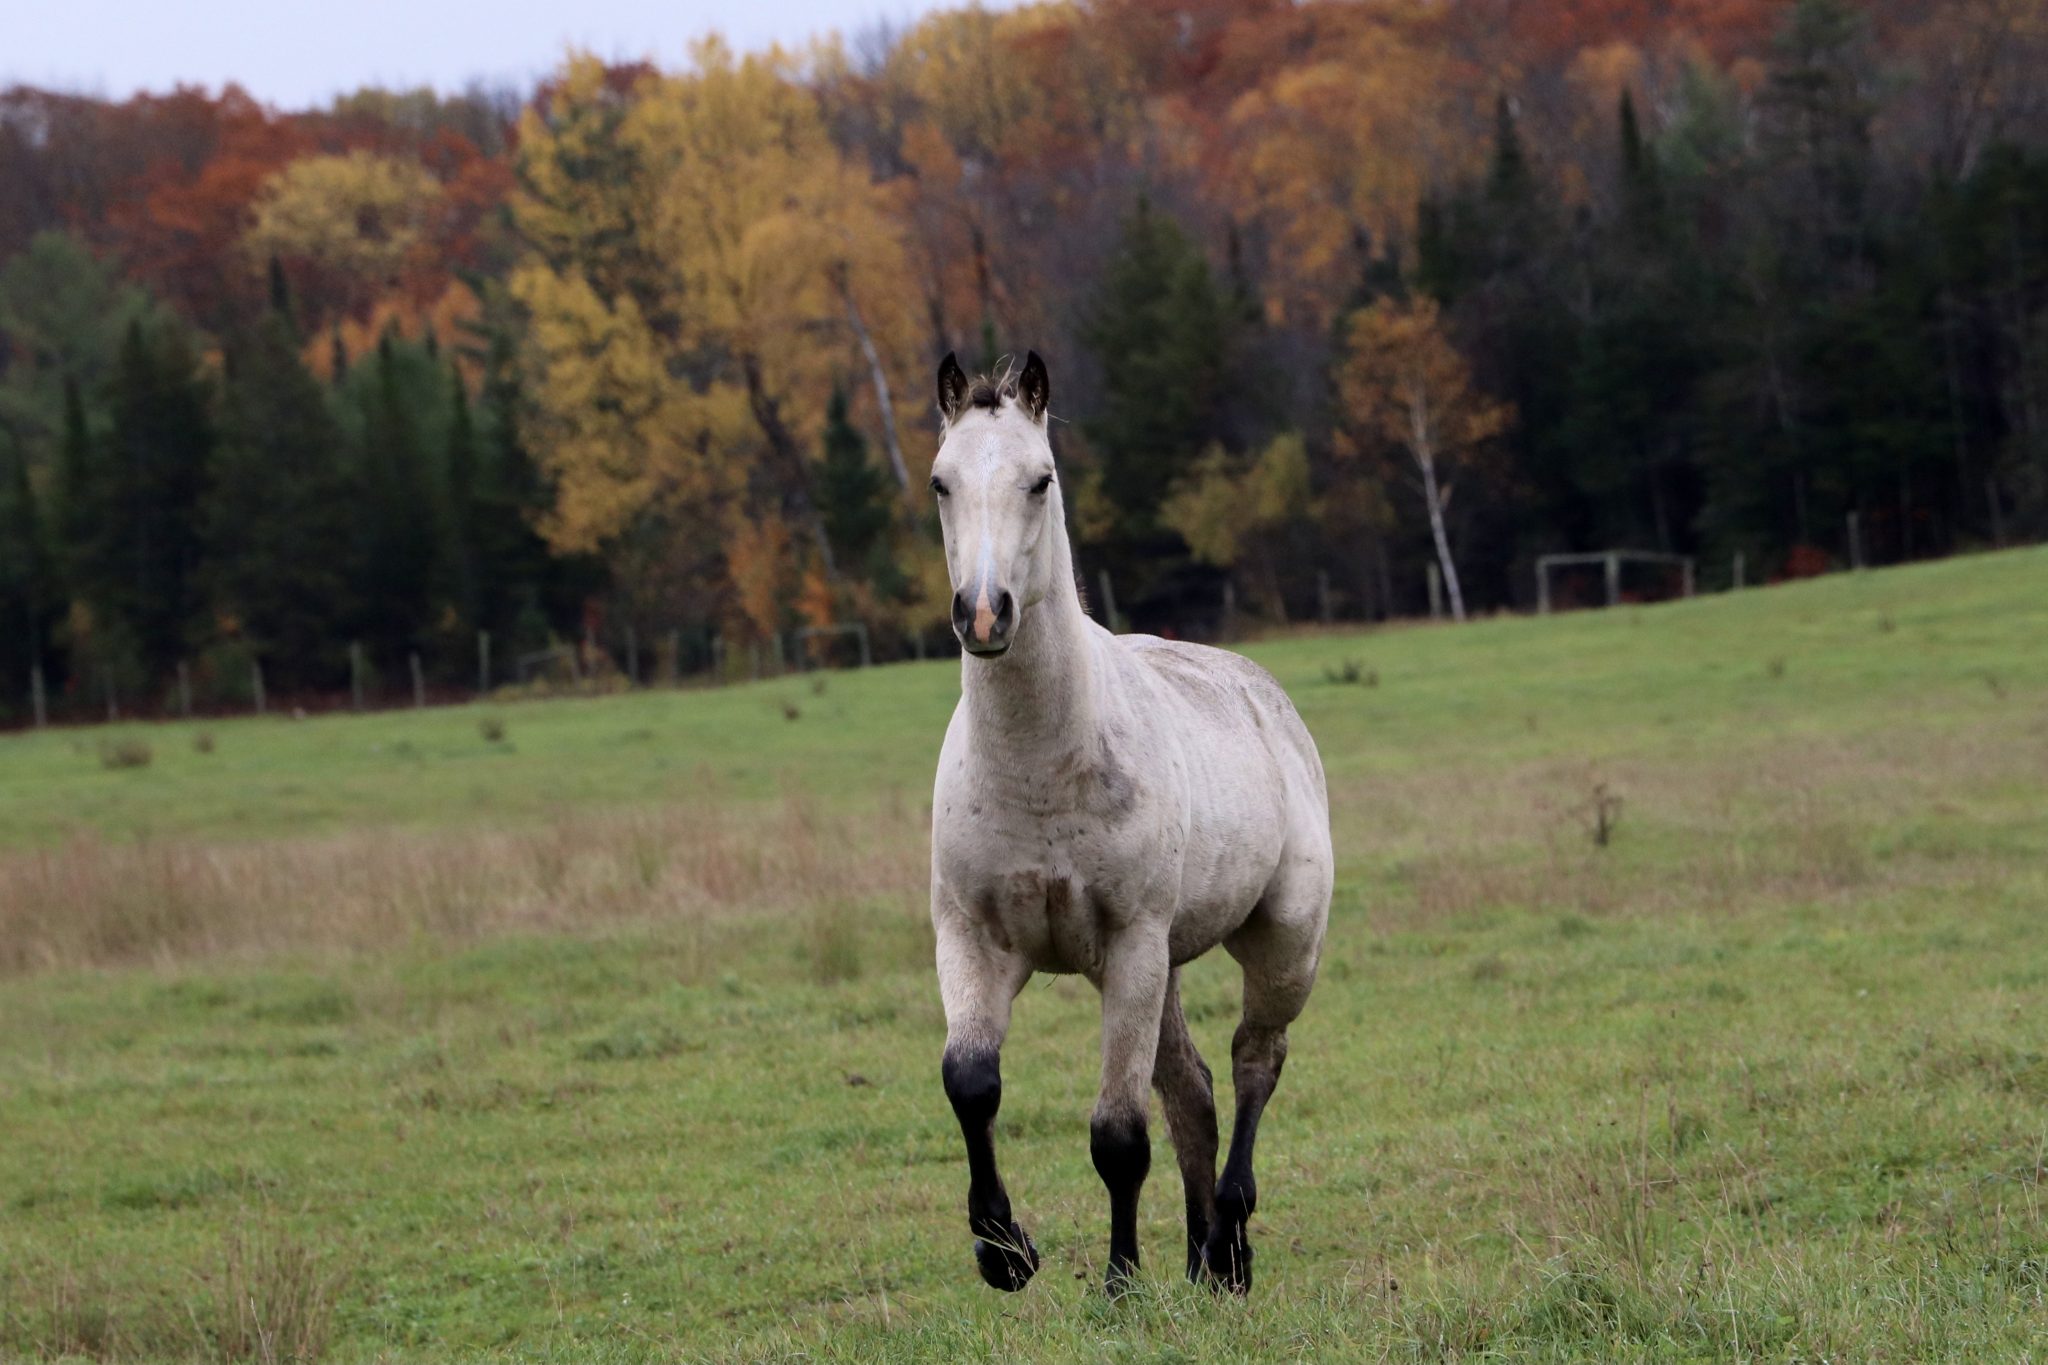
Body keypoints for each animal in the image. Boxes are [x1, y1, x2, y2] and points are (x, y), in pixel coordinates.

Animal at [926, 350, 1333, 1296]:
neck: (1041, 767)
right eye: (940, 482)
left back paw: (1228, 1241)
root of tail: (1265, 695)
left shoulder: (1130, 946)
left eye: (1040, 479)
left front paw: (1119, 1282)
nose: (985, 613)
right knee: (1192, 1089)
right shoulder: (972, 937)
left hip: (1277, 944)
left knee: (1253, 1062)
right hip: (1170, 963)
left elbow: (1117, 1133)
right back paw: (1202, 1260)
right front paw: (1003, 1250)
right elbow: (970, 1080)